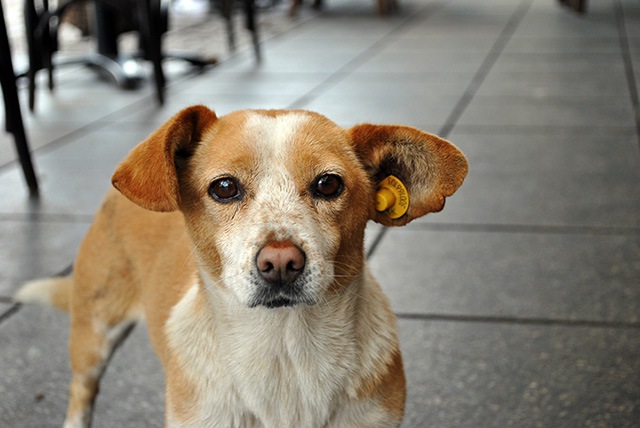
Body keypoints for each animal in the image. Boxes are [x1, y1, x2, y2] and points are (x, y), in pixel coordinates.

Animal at [13, 104, 464, 428]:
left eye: (329, 183)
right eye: (225, 187)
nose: (280, 261)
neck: (284, 353)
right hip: (93, 334)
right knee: (81, 394)